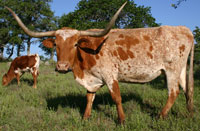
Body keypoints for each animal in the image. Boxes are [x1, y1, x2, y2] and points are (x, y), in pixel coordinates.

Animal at [5, 2, 194, 124]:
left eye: (75, 44)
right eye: (57, 45)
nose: (62, 67)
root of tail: (184, 29)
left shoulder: (110, 75)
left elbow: (116, 97)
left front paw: (122, 121)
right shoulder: (92, 79)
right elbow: (89, 97)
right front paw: (85, 118)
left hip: (171, 70)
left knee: (174, 92)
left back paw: (160, 117)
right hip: (181, 70)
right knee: (187, 90)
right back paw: (189, 113)